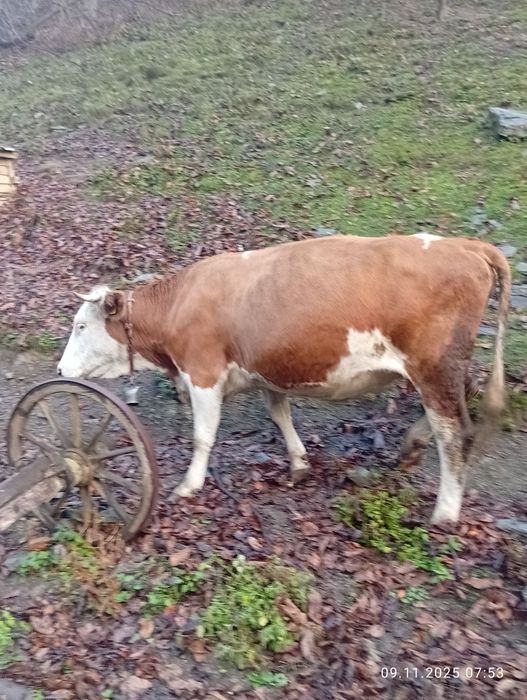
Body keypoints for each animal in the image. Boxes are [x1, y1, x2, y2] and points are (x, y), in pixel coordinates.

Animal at [57, 234, 511, 524]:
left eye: (80, 326)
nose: (60, 371)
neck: (179, 303)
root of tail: (465, 244)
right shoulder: (267, 371)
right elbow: (280, 415)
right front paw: (298, 462)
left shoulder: (202, 372)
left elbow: (203, 436)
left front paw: (190, 484)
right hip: (443, 369)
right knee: (459, 409)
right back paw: (412, 445)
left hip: (434, 368)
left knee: (454, 432)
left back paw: (445, 512)